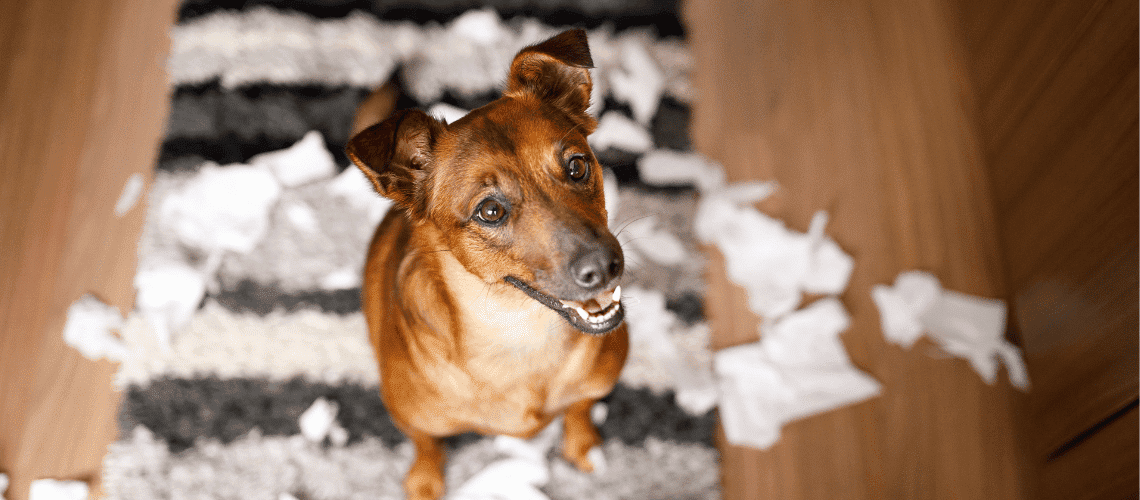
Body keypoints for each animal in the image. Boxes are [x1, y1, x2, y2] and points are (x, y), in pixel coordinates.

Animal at [344, 31, 633, 500]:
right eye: (491, 211)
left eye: (577, 166)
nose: (605, 267)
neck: (518, 331)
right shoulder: (414, 421)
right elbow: (427, 446)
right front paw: (425, 481)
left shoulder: (594, 387)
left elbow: (580, 410)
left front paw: (583, 444)